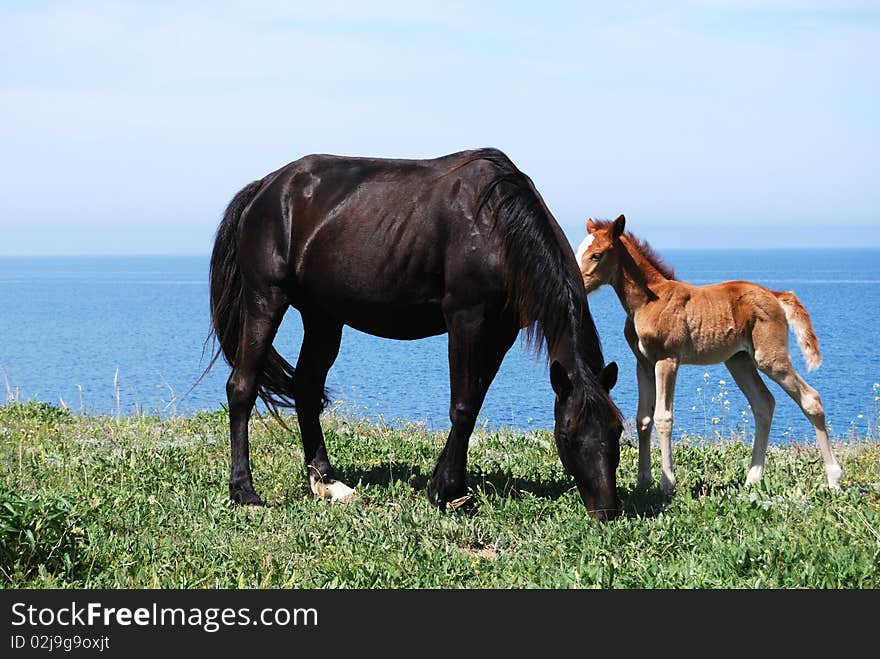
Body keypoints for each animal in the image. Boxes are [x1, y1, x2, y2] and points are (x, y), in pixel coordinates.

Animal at [209, 148, 624, 520]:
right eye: (568, 435)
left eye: (618, 431)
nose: (607, 511)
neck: (498, 225)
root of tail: (265, 187)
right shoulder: (466, 319)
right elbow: (463, 406)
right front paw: (451, 494)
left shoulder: (500, 333)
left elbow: (474, 402)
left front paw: (443, 485)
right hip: (266, 299)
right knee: (241, 387)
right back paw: (244, 491)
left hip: (323, 317)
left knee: (306, 389)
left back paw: (327, 482)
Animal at [576, 218, 844, 496]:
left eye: (597, 254)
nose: (577, 282)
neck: (648, 301)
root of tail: (775, 295)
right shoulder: (643, 363)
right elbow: (643, 419)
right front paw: (643, 481)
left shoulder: (667, 360)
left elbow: (663, 418)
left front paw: (667, 483)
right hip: (739, 360)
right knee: (763, 403)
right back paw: (752, 478)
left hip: (770, 357)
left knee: (810, 399)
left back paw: (834, 479)